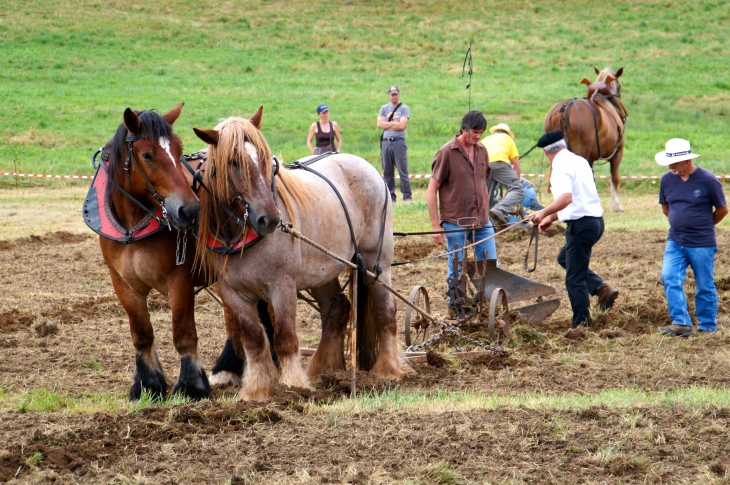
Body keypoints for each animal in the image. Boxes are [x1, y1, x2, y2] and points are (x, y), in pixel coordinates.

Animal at [191, 108, 412, 400]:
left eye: (266, 161)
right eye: (233, 162)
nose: (269, 219)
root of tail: (367, 167)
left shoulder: (282, 285)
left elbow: (285, 337)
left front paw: (293, 385)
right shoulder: (232, 292)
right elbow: (254, 339)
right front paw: (256, 390)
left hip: (378, 262)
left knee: (385, 311)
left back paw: (388, 370)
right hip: (323, 270)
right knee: (337, 309)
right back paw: (323, 369)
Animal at [540, 66, 624, 212]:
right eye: (619, 86)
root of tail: (564, 108)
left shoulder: (591, 159)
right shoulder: (617, 153)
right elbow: (614, 178)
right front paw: (616, 205)